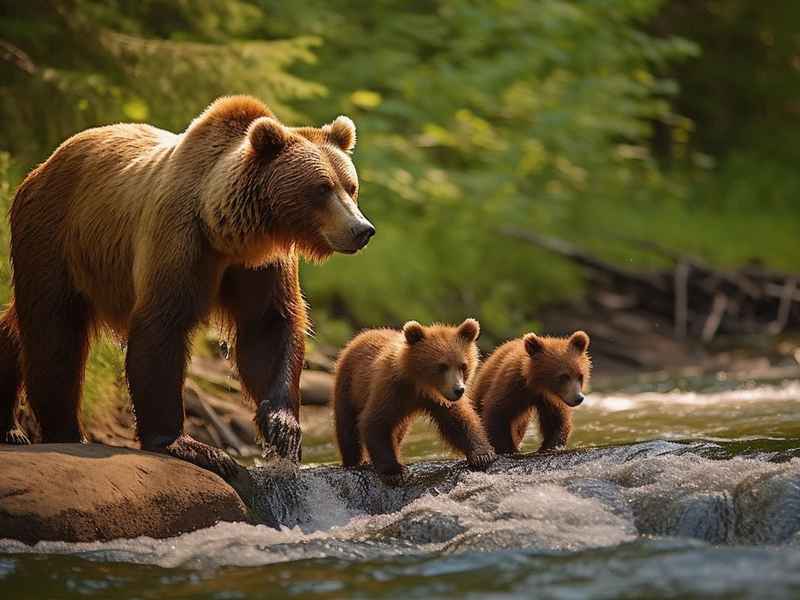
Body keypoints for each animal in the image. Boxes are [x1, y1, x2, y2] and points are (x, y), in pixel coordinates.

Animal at [0, 95, 375, 485]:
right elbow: (162, 326)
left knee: (20, 326)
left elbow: (267, 329)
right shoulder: (179, 238)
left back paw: (12, 424)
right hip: (57, 237)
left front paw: (282, 428)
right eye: (321, 187)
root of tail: (42, 166)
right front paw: (186, 444)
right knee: (53, 331)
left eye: (350, 186)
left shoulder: (260, 265)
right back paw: (65, 430)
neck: (227, 232)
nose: (362, 229)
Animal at [333, 318, 496, 484]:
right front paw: (394, 471)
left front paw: (482, 455)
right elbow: (375, 423)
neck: (419, 385)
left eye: (463, 365)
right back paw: (354, 461)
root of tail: (363, 334)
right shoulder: (391, 388)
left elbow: (459, 420)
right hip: (347, 384)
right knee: (347, 426)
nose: (459, 389)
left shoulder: (440, 399)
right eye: (442, 366)